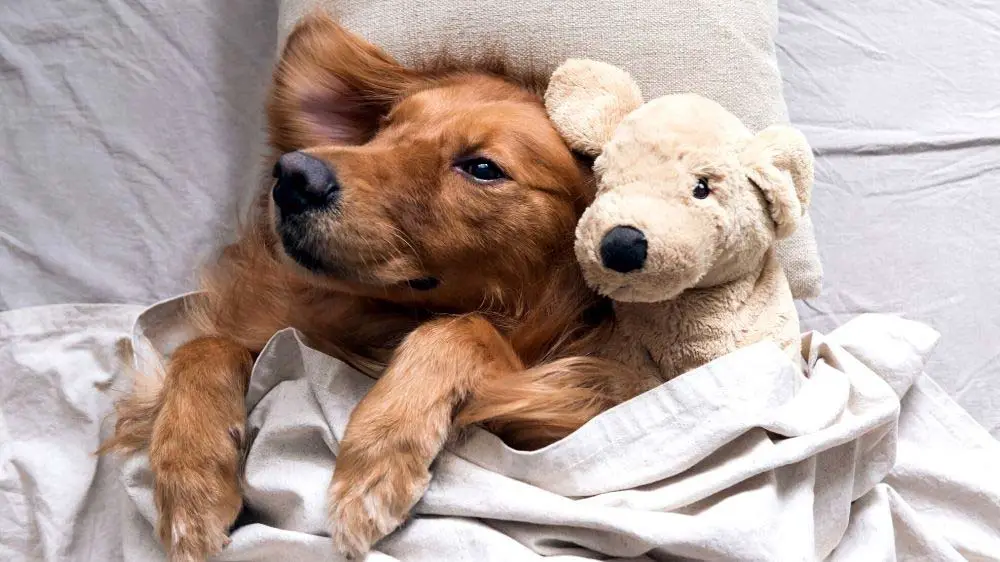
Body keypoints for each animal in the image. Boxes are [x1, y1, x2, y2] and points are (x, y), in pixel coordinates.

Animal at [101, 9, 644, 560]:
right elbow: (202, 347)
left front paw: (376, 457)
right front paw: (189, 480)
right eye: (384, 130)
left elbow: (459, 328)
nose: (294, 175)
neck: (374, 321)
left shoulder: (558, 408)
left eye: (482, 168)